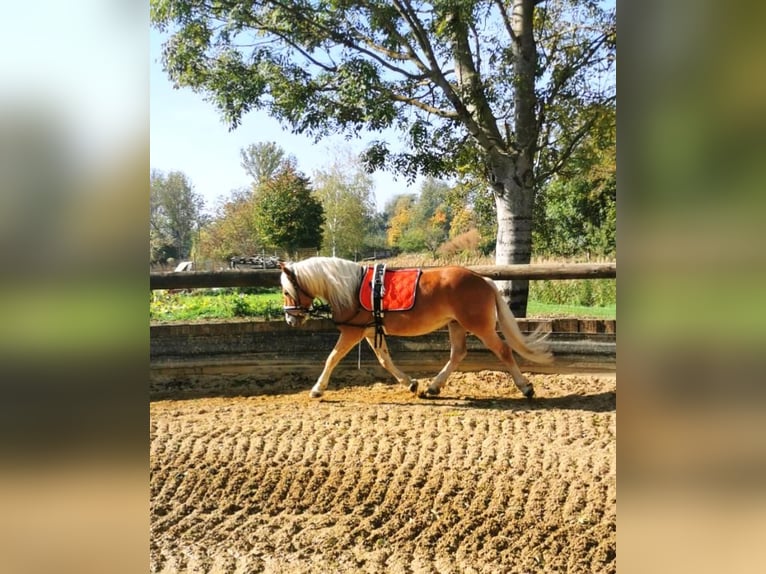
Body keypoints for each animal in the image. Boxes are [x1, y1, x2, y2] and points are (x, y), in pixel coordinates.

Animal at [280, 258, 552, 400]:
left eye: (285, 290)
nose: (291, 320)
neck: (352, 288)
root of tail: (483, 280)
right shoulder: (370, 331)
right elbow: (385, 360)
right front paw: (410, 383)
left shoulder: (352, 332)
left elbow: (332, 358)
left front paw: (317, 389)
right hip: (456, 325)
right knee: (458, 354)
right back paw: (433, 387)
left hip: (479, 327)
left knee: (503, 351)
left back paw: (526, 387)